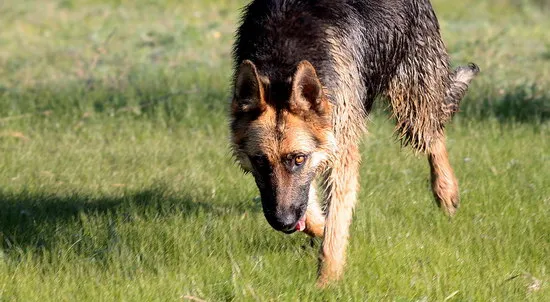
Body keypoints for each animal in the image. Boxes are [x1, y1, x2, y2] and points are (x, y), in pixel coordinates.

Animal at [229, 0, 478, 288]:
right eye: (259, 161)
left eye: (298, 159)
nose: (284, 223)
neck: (282, 65)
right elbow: (314, 211)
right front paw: (320, 229)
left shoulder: (340, 152)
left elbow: (335, 225)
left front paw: (327, 282)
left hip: (411, 103)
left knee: (434, 133)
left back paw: (445, 190)